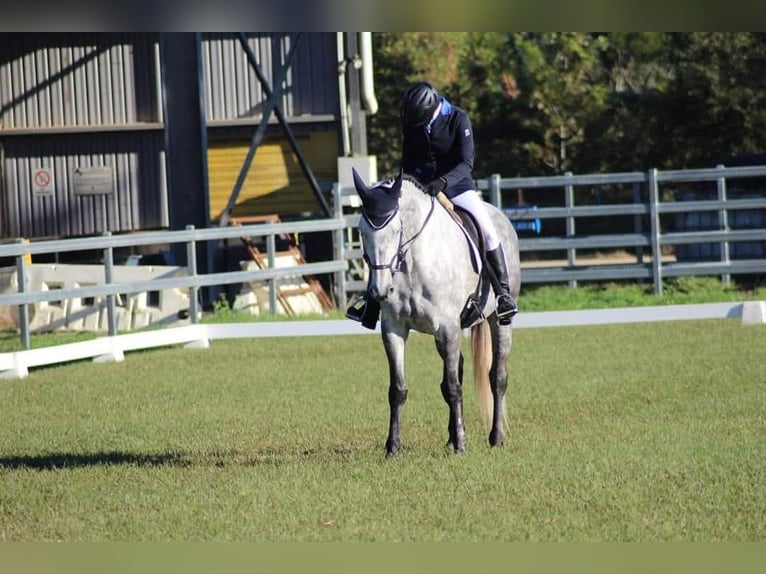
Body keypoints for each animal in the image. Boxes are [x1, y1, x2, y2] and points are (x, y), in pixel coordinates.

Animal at [351, 168, 521, 457]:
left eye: (396, 229)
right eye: (362, 231)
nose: (379, 290)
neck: (412, 261)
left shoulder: (448, 327)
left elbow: (453, 388)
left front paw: (461, 448)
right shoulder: (394, 329)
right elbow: (398, 390)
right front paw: (393, 447)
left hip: (498, 321)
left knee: (497, 377)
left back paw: (495, 437)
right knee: (458, 371)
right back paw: (454, 436)